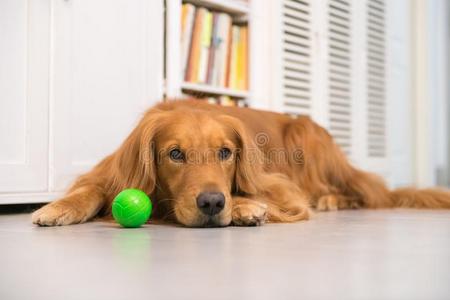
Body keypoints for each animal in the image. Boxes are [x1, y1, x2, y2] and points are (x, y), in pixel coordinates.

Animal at [31, 99, 450, 227]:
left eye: (225, 153)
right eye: (175, 154)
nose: (212, 203)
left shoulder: (280, 187)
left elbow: (270, 198)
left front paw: (246, 207)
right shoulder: (113, 172)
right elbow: (91, 189)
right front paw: (57, 207)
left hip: (305, 135)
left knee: (358, 193)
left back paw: (333, 200)